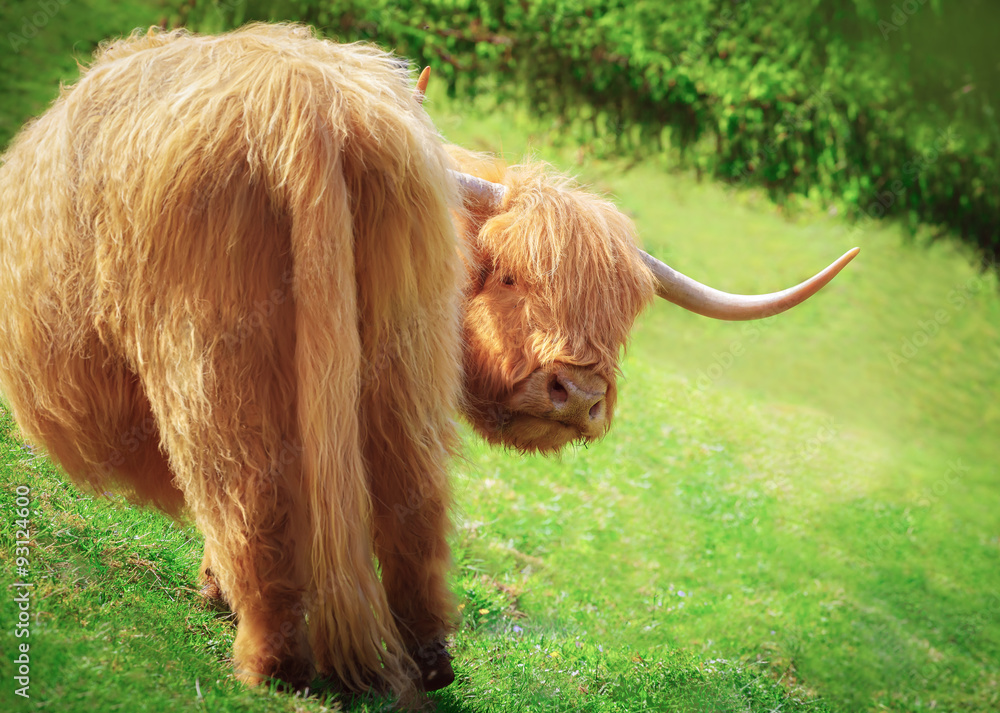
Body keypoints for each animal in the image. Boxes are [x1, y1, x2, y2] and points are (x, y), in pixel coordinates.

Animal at [0, 24, 857, 701]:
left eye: (623, 316)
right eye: (508, 275)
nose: (580, 393)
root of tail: (305, 111)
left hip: (206, 346)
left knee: (244, 480)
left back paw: (269, 659)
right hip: (396, 359)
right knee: (408, 493)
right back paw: (428, 659)